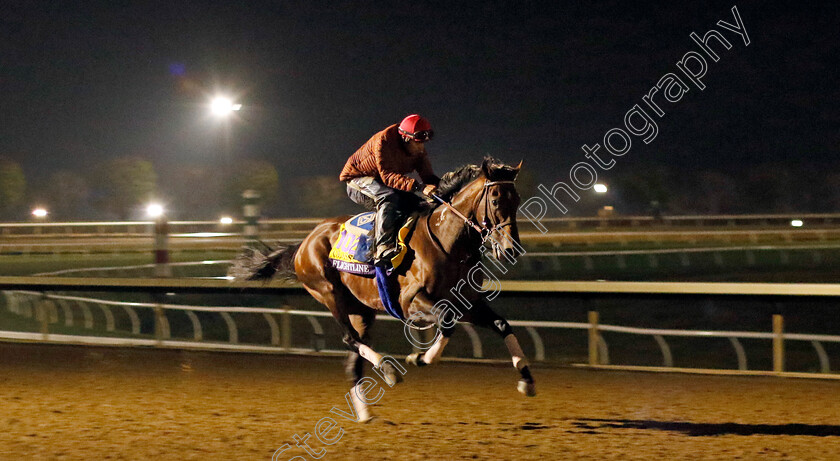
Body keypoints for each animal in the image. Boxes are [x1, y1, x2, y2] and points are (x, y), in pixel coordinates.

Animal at [226, 158, 536, 416]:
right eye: (495, 199)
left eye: (517, 199)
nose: (511, 249)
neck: (446, 241)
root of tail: (303, 243)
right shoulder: (410, 301)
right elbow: (447, 322)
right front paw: (419, 357)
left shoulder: (468, 300)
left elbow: (501, 324)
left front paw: (526, 379)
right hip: (328, 293)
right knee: (350, 339)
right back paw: (387, 369)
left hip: (361, 309)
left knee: (354, 354)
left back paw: (364, 411)